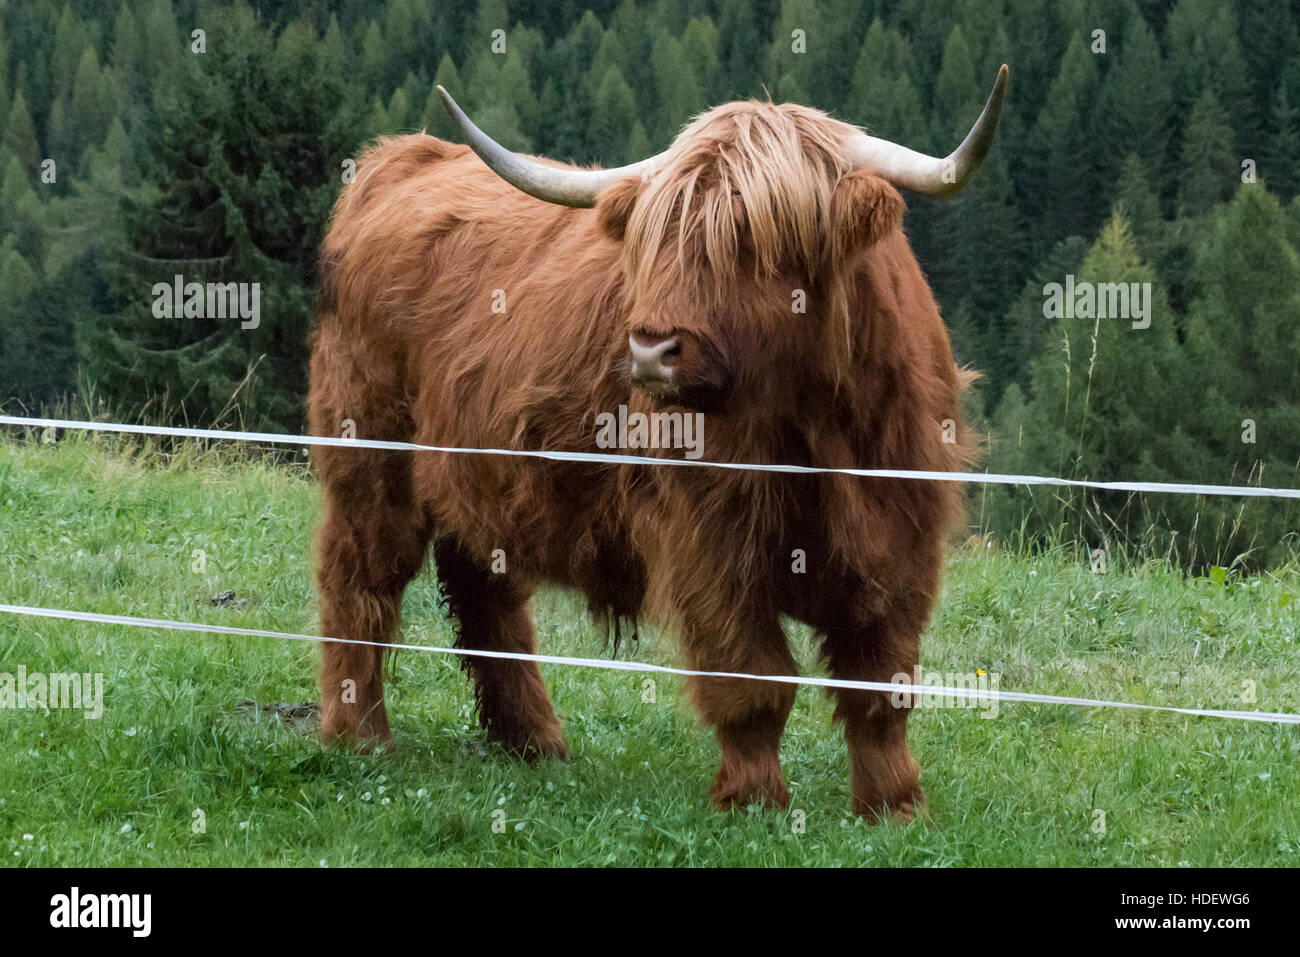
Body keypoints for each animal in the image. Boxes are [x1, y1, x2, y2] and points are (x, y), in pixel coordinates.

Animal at [307, 66, 1007, 820]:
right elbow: (752, 675)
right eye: (655, 240)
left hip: (480, 475)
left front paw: (895, 805)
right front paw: (752, 800)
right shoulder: (711, 543)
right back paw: (361, 736)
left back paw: (532, 742)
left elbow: (881, 681)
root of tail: (402, 159)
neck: (814, 430)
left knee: (484, 594)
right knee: (359, 579)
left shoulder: (901, 538)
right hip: (372, 459)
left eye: (752, 243)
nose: (649, 349)